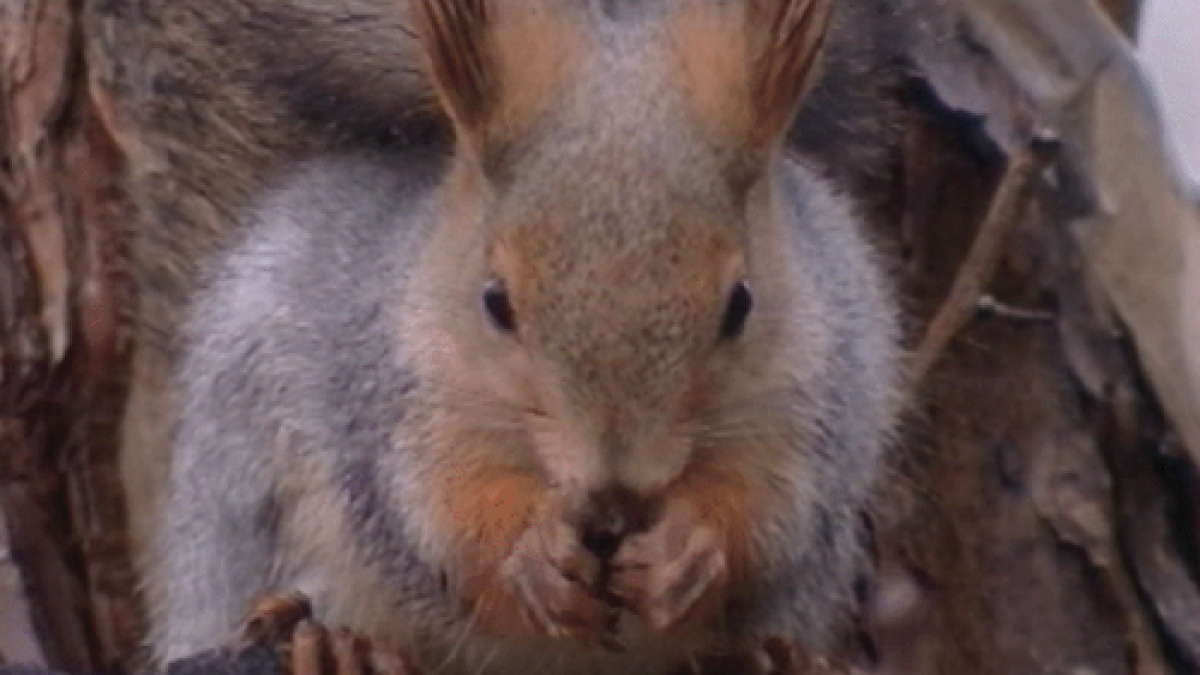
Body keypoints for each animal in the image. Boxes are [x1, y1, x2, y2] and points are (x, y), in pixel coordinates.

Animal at [147, 1, 902, 672]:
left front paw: (688, 550)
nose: (614, 492)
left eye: (741, 303)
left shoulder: (808, 396)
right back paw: (333, 644)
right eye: (495, 302)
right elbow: (442, 515)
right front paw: (528, 557)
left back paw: (786, 657)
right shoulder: (401, 400)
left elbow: (771, 512)